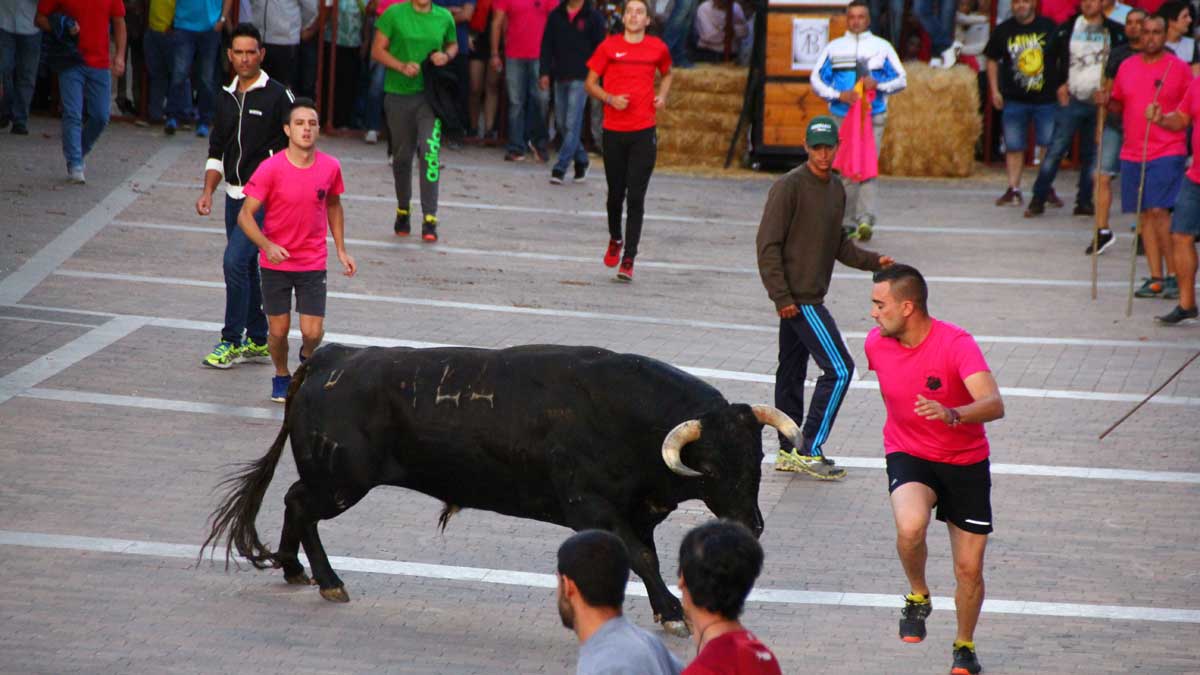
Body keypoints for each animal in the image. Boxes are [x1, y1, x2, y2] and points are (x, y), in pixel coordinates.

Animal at [201, 343, 801, 634]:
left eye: (758, 457)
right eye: (713, 464)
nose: (751, 526)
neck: (629, 418)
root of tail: (331, 357)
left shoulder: (634, 512)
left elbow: (644, 556)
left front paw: (665, 610)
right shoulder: (592, 506)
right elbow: (641, 558)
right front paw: (673, 613)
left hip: (334, 479)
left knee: (292, 502)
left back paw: (292, 568)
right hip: (342, 481)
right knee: (301, 503)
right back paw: (326, 579)